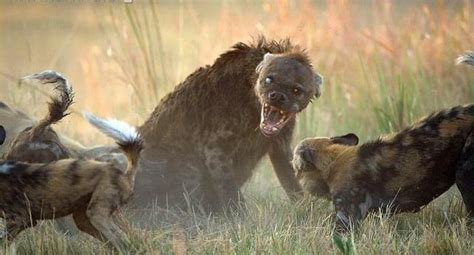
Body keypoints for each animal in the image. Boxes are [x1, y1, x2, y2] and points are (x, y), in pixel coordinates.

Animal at [135, 36, 324, 211]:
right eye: (269, 79)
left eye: (296, 90)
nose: (277, 96)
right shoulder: (216, 147)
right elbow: (228, 187)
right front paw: (240, 217)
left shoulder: (280, 145)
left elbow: (291, 179)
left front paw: (306, 209)